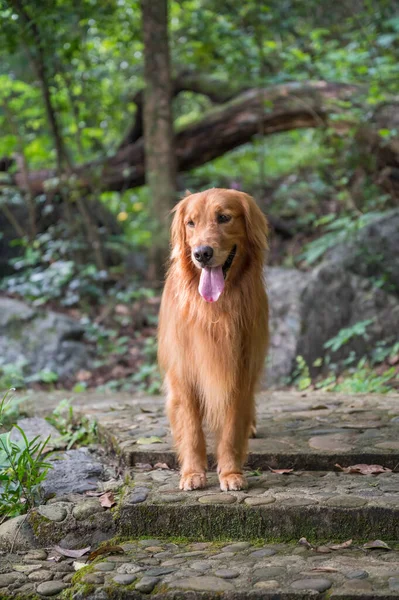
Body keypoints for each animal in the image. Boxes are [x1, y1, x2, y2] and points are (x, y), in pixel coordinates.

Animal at [158, 189, 270, 492]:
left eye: (223, 218)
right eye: (191, 223)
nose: (202, 253)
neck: (215, 310)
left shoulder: (240, 370)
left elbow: (231, 429)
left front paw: (230, 473)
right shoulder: (183, 373)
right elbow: (191, 429)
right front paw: (192, 472)